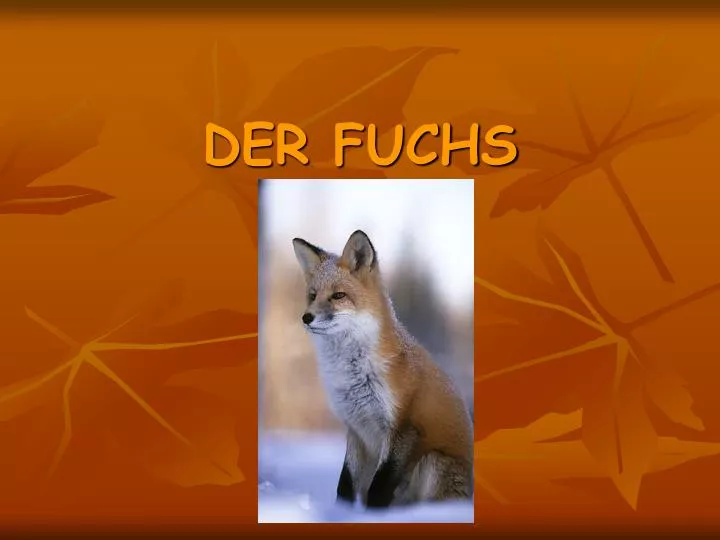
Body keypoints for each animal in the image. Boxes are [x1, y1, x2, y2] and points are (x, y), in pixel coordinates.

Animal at [292, 229, 473, 509]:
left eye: (338, 296)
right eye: (312, 295)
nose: (306, 317)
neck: (354, 372)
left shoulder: (402, 427)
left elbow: (379, 487)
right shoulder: (357, 429)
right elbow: (345, 485)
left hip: (434, 462)